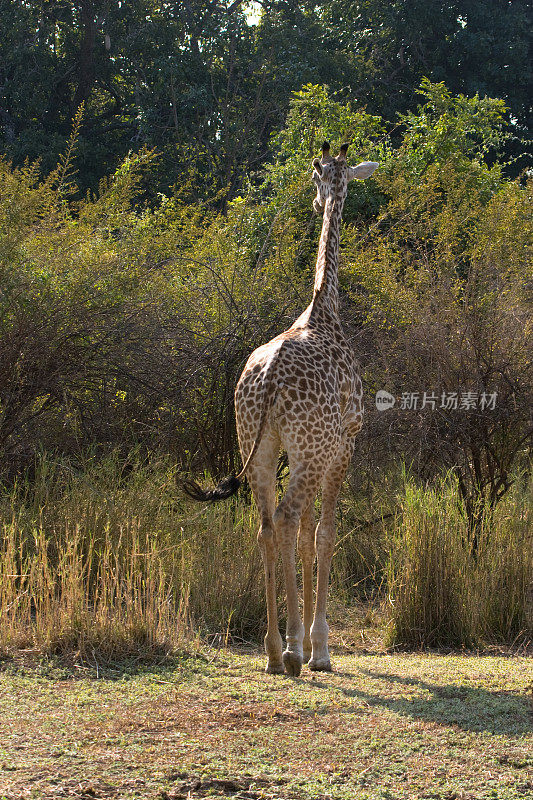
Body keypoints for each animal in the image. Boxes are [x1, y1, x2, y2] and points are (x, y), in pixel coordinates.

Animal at [184, 142, 378, 676]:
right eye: (319, 180)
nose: (317, 202)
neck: (323, 310)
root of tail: (267, 378)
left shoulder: (309, 451)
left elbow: (308, 533)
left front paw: (309, 643)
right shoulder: (343, 446)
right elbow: (324, 533)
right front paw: (320, 648)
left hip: (258, 445)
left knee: (267, 526)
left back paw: (273, 650)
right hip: (306, 450)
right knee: (288, 519)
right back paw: (292, 651)